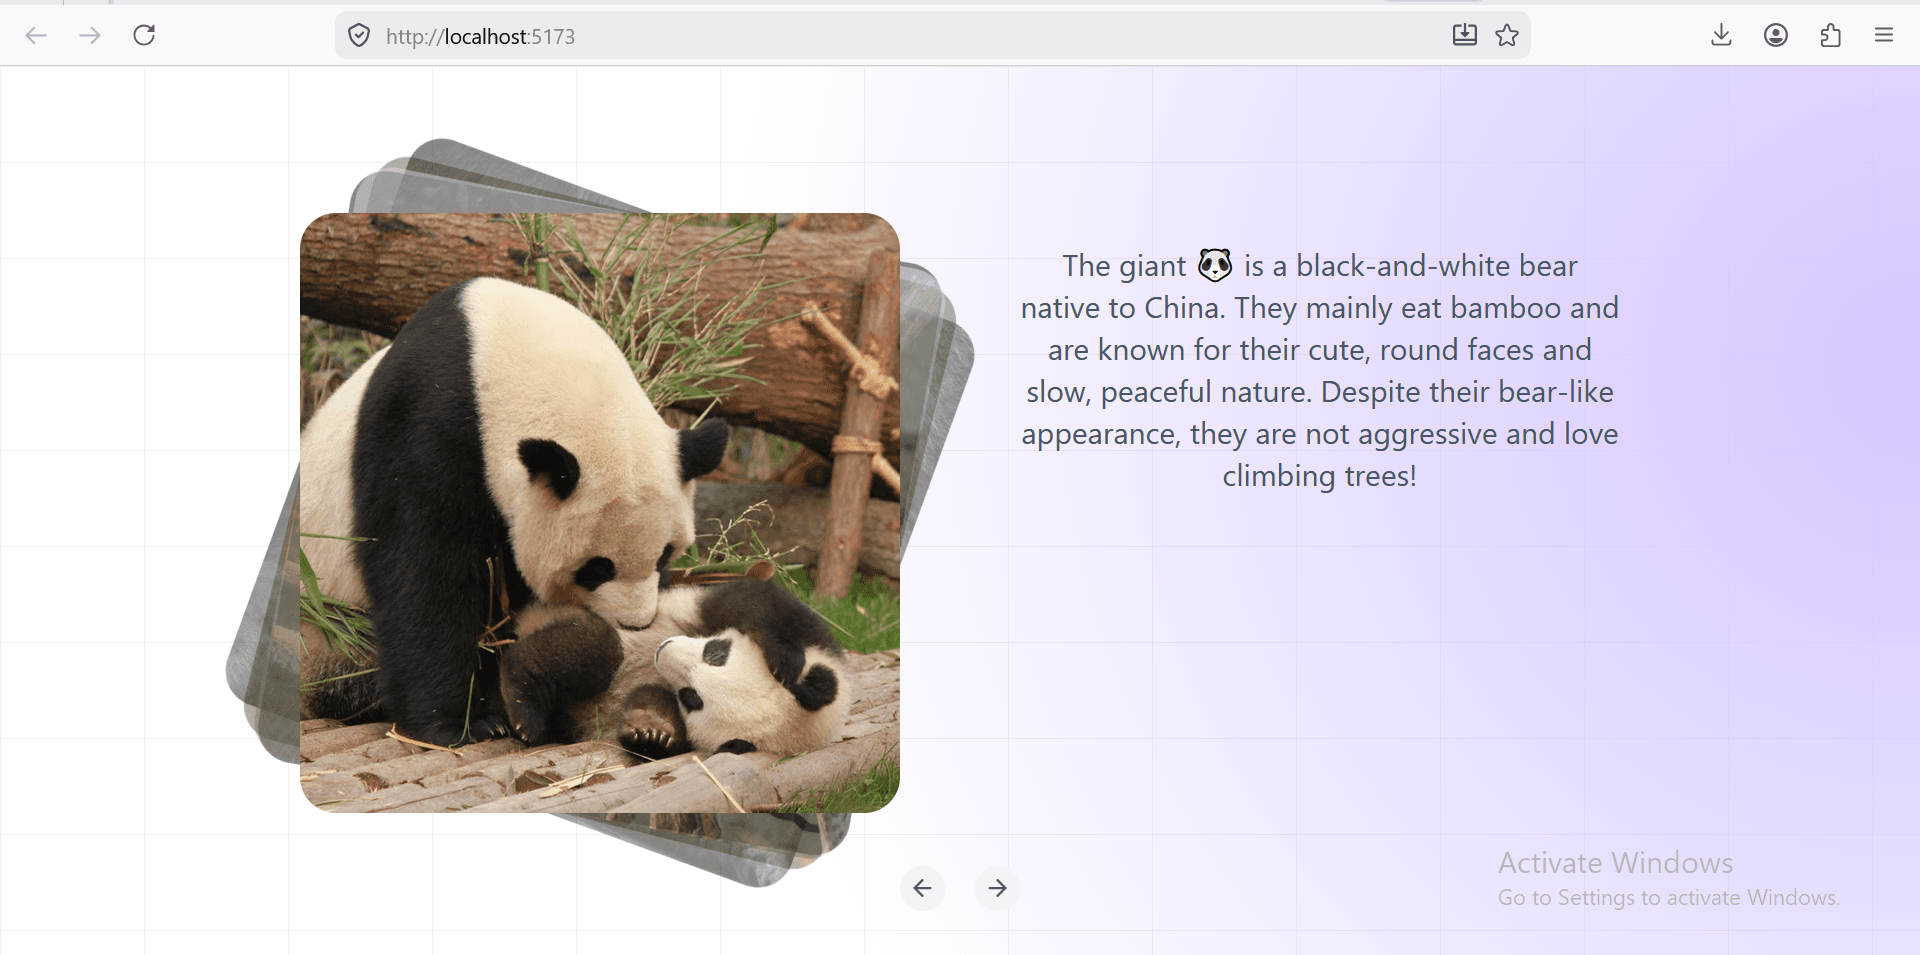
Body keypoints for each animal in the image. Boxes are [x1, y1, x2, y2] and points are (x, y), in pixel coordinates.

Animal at [300, 276, 729, 748]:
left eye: (665, 555)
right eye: (597, 568)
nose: (635, 623)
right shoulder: (424, 425)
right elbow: (424, 576)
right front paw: (453, 725)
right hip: (325, 623)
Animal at [501, 579, 852, 758]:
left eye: (691, 697)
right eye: (716, 653)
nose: (664, 650)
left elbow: (655, 705)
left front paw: (651, 732)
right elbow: (754, 601)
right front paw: (783, 656)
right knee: (594, 650)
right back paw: (523, 708)